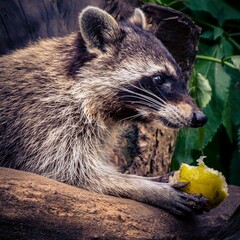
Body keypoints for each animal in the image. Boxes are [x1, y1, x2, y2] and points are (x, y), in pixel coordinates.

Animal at [0, 7, 208, 216]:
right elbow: (70, 172)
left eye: (182, 77)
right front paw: (147, 187)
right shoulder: (43, 119)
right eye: (159, 79)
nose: (200, 117)